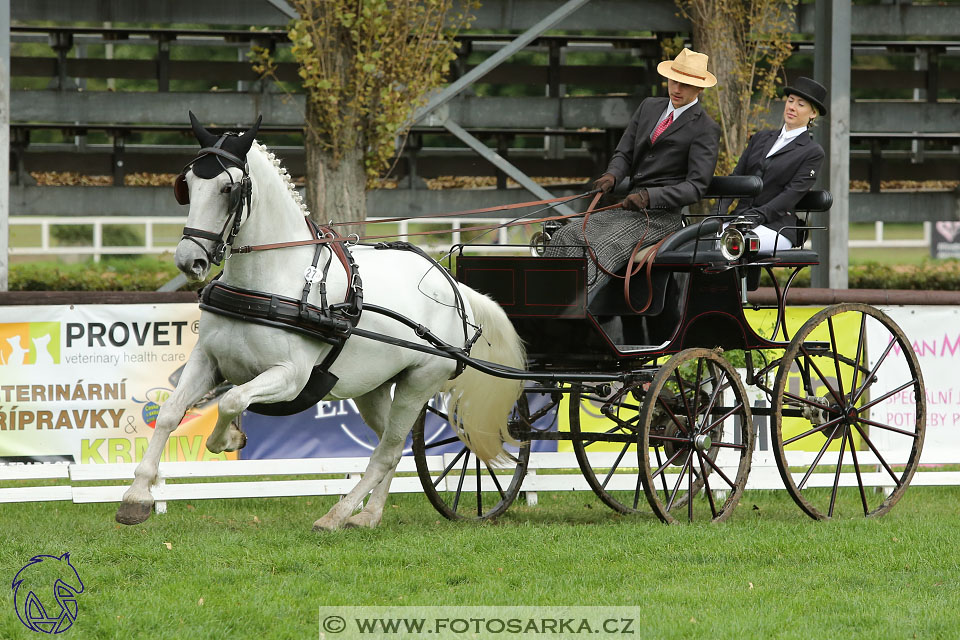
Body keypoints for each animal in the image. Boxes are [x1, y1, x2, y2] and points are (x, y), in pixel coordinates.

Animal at [118, 115, 532, 528]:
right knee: (392, 445)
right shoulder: (209, 360)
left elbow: (232, 401)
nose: (190, 260)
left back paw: (338, 515)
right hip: (373, 386)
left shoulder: (290, 376)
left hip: (419, 383)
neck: (271, 281)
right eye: (186, 185)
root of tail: (453, 286)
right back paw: (368, 515)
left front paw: (227, 440)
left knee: (388, 449)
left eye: (228, 189)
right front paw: (137, 496)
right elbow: (170, 413)